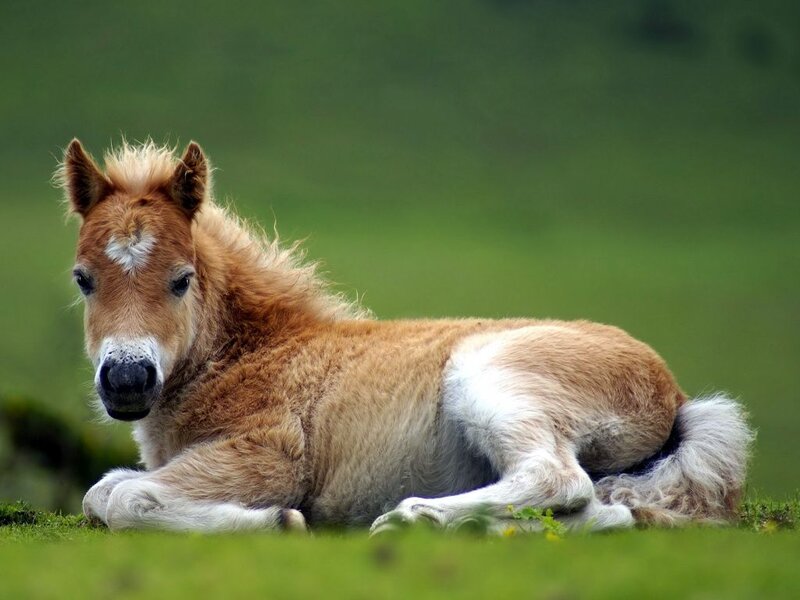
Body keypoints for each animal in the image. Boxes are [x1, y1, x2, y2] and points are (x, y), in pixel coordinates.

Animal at [57, 139, 753, 534]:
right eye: (83, 279)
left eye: (181, 280)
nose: (126, 379)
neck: (253, 353)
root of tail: (675, 396)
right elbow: (101, 492)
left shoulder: (264, 456)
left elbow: (125, 499)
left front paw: (279, 521)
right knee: (602, 511)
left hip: (490, 376)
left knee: (559, 480)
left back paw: (411, 517)